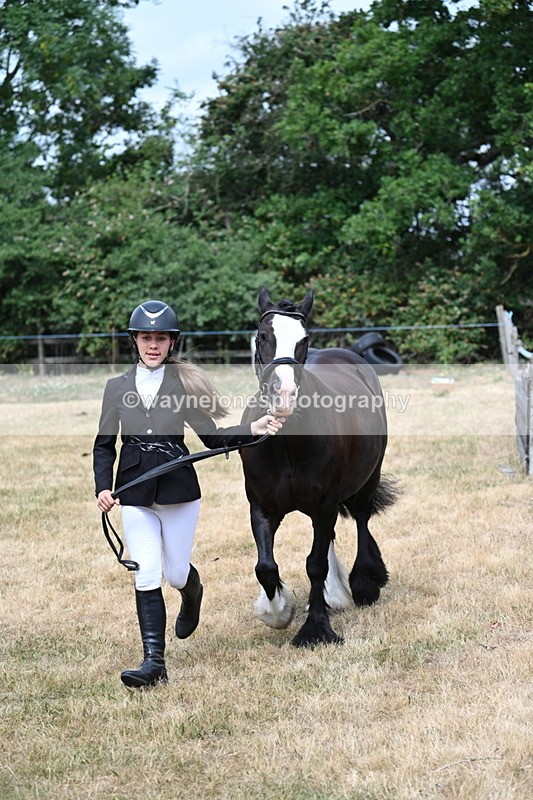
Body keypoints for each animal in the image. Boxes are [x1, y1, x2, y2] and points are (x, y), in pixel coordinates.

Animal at [240, 287, 398, 647]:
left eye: (304, 339)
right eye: (262, 336)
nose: (283, 393)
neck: (287, 442)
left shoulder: (325, 505)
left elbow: (314, 565)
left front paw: (315, 627)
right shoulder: (261, 508)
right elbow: (265, 567)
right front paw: (278, 611)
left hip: (367, 480)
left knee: (361, 520)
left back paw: (363, 582)